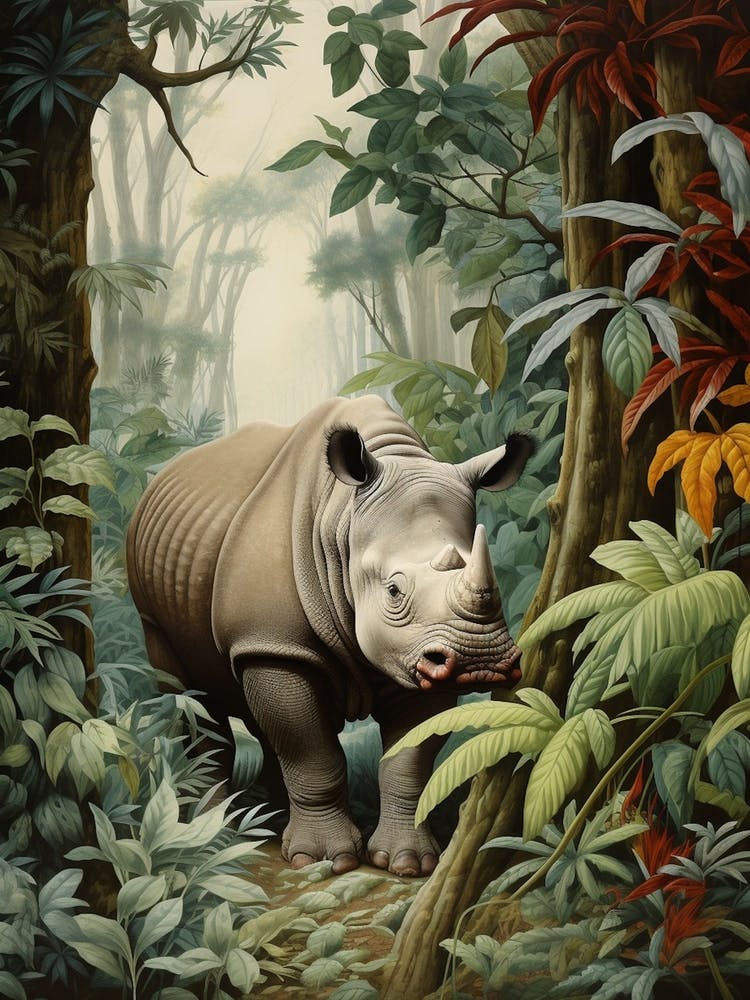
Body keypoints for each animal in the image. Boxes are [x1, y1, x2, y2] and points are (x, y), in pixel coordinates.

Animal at [127, 395, 532, 876]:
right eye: (394, 591)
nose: (479, 661)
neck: (343, 523)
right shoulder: (275, 644)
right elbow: (310, 751)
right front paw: (322, 858)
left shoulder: (420, 656)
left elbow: (408, 761)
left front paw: (408, 863)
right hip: (153, 608)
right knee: (193, 697)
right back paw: (216, 832)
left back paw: (269, 818)